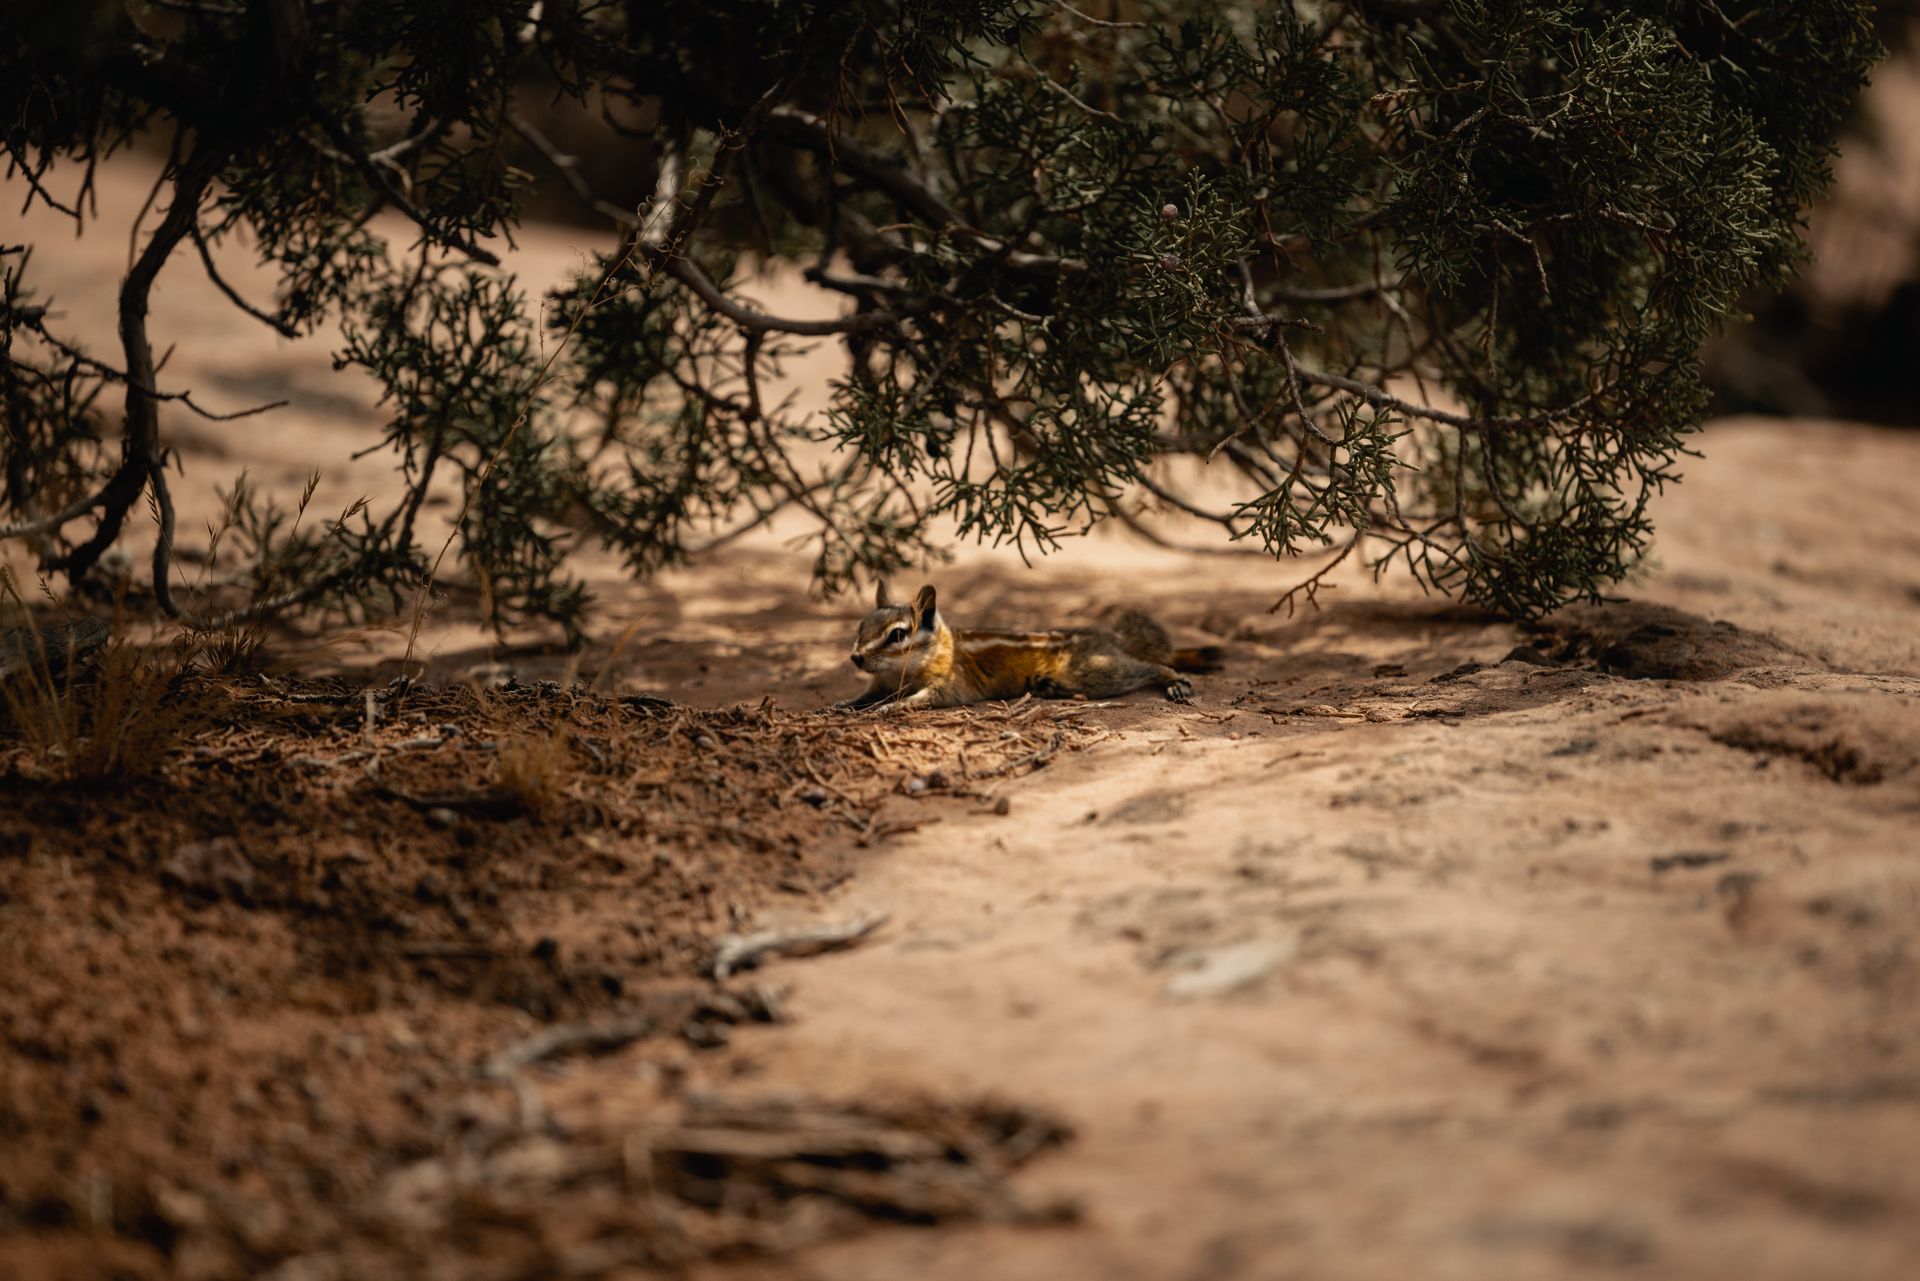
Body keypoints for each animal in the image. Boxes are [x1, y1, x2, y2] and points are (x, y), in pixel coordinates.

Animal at [838, 582, 1224, 711]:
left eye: (897, 635)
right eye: (860, 626)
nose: (856, 657)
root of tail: (1110, 639)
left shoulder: (949, 686)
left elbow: (921, 699)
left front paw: (888, 708)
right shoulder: (879, 683)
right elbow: (864, 696)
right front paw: (843, 703)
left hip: (1097, 673)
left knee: (1150, 667)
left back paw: (1174, 680)